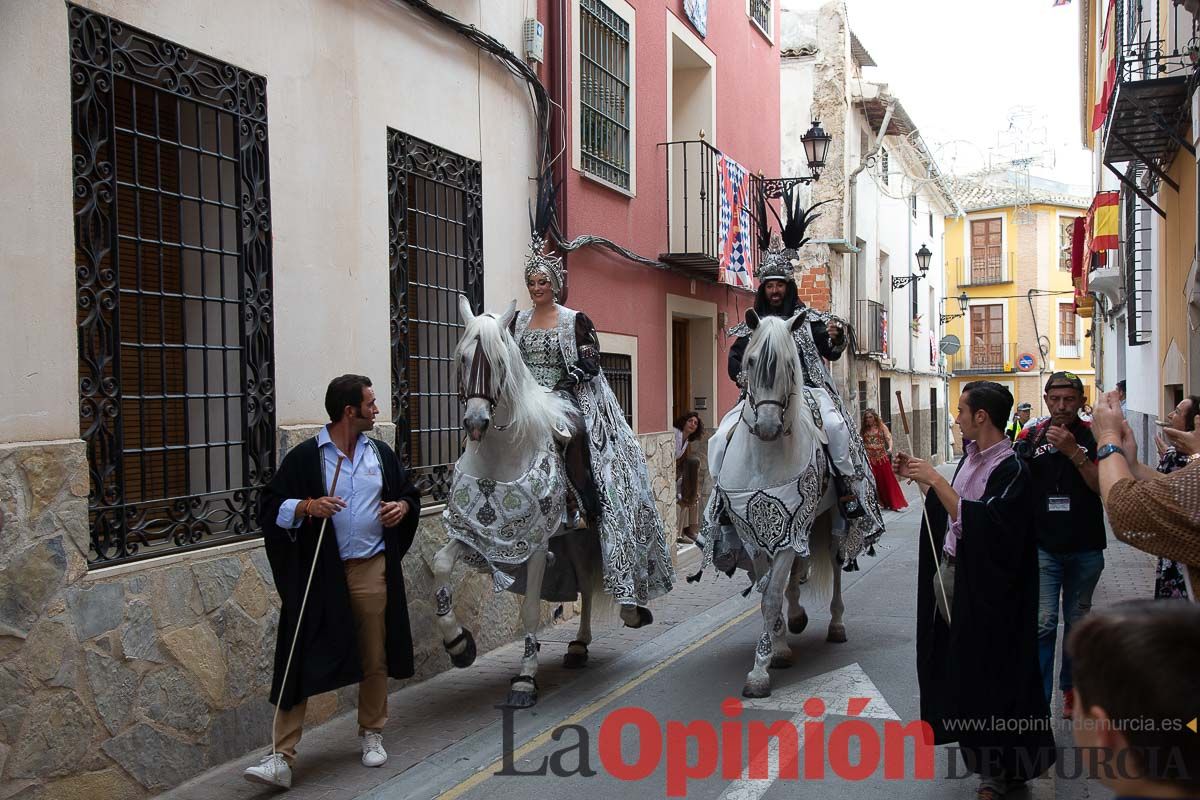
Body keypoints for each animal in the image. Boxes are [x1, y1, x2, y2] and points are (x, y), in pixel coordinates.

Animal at [432, 298, 604, 705]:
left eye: (498, 362)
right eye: (463, 358)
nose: (475, 421)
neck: (502, 454)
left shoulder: (538, 542)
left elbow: (528, 609)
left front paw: (526, 678)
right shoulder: (475, 532)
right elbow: (441, 563)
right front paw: (459, 645)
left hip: (582, 534)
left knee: (588, 582)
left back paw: (581, 644)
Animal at [705, 309, 849, 695]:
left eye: (789, 363)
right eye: (751, 360)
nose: (767, 426)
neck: (764, 458)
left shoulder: (790, 526)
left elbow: (772, 594)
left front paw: (760, 671)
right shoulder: (753, 533)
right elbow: (766, 590)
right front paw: (780, 647)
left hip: (829, 518)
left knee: (834, 564)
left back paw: (836, 624)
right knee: (797, 572)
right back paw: (796, 619)